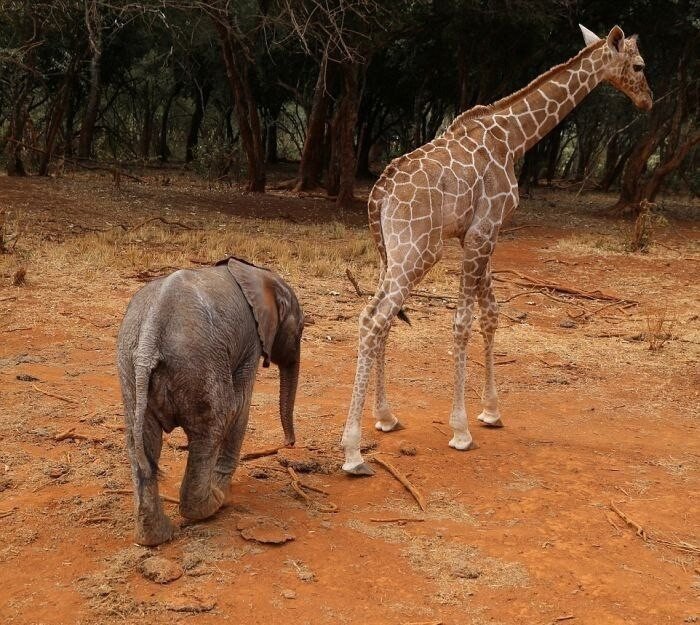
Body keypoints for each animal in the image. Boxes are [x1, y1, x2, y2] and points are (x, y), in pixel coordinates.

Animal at [117, 256, 304, 544]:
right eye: (300, 331)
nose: (289, 444)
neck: (259, 275)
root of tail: (150, 334)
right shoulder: (251, 342)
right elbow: (241, 406)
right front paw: (225, 491)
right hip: (199, 364)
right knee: (214, 424)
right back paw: (215, 503)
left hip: (130, 369)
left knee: (141, 442)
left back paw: (157, 536)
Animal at [342, 23, 652, 472]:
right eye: (640, 65)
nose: (647, 100)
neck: (517, 137)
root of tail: (378, 193)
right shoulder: (483, 229)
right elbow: (463, 322)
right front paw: (460, 430)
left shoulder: (480, 233)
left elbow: (490, 314)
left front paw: (491, 412)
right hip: (418, 250)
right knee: (374, 319)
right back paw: (352, 451)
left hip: (394, 252)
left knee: (377, 317)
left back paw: (385, 417)